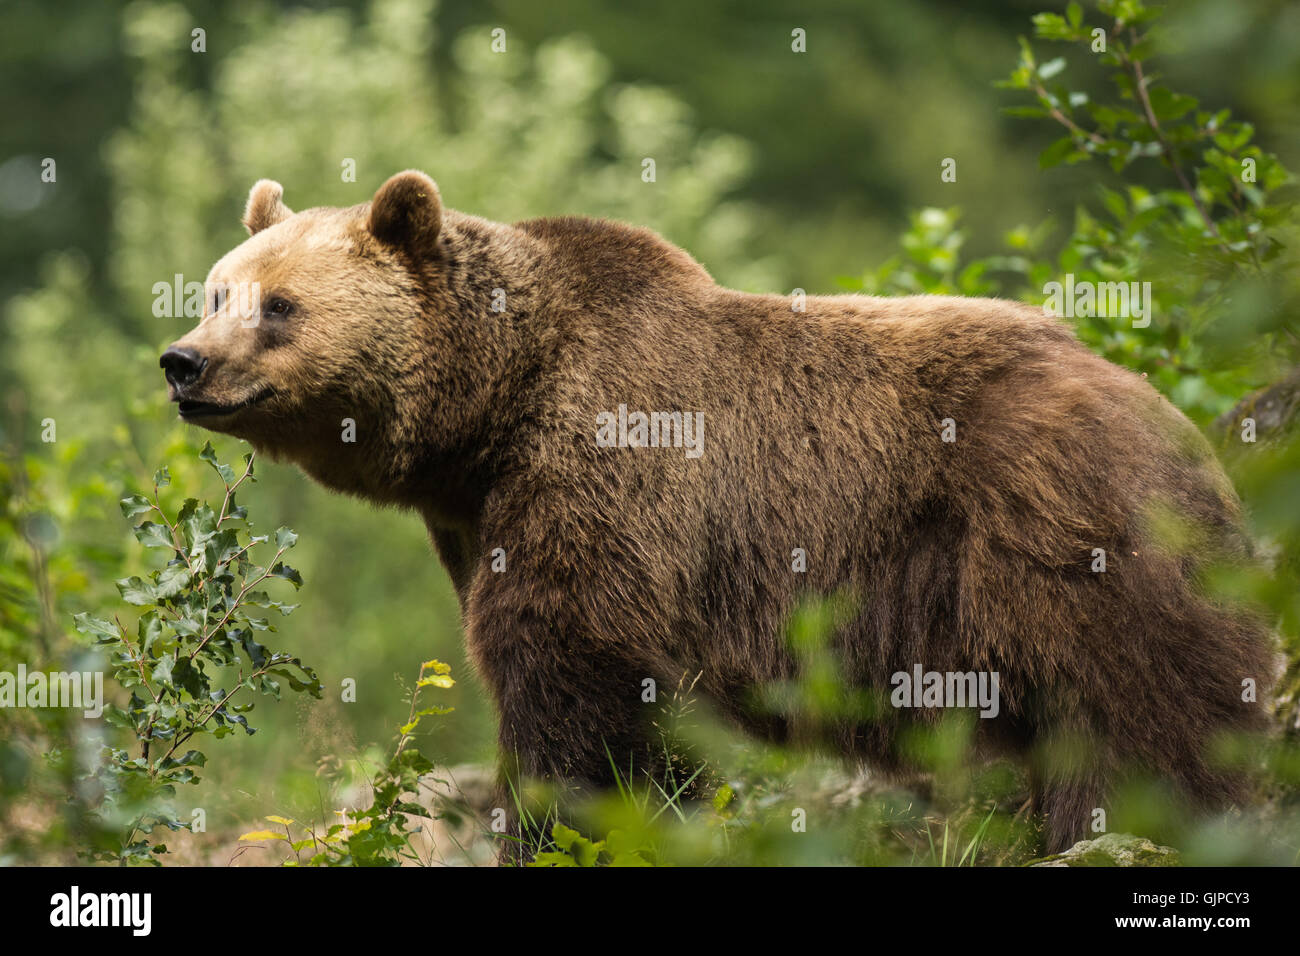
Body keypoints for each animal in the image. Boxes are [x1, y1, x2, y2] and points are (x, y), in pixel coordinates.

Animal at [161, 170, 1275, 859]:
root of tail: (1180, 419)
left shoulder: (611, 473)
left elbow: (577, 681)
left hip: (1064, 539)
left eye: (279, 306)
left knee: (1147, 712)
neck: (492, 415)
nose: (185, 363)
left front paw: (554, 827)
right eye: (216, 291)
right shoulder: (483, 518)